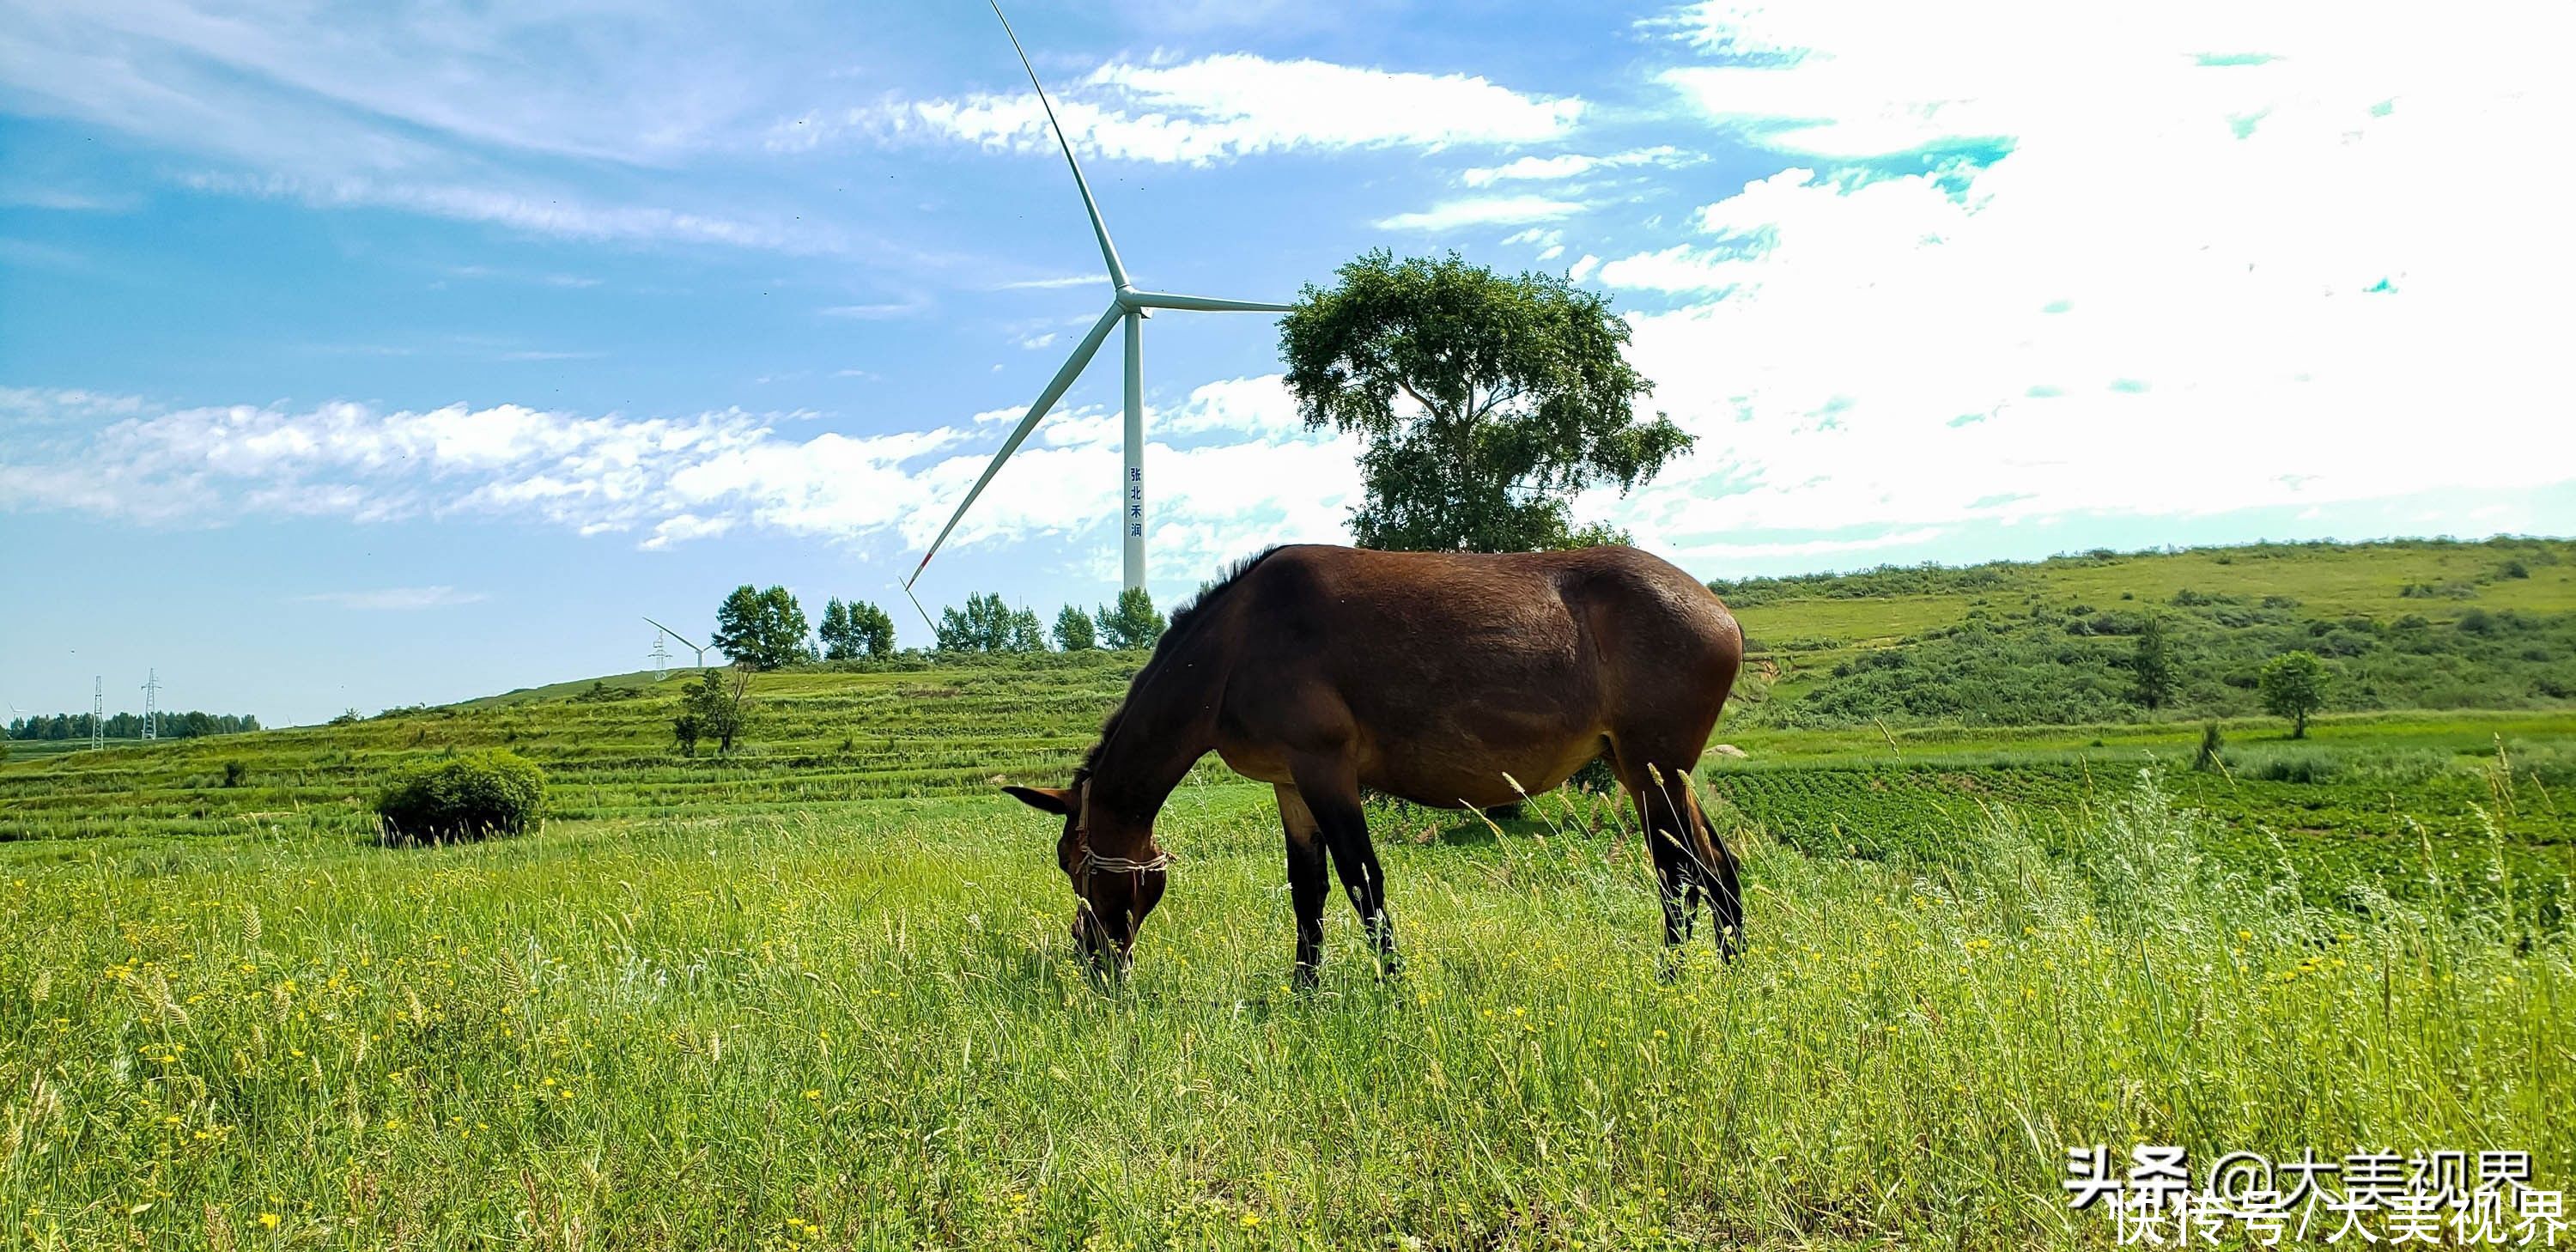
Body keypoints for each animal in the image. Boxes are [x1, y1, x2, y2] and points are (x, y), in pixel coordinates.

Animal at [1005, 544, 1752, 984]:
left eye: (1073, 866)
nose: (1089, 956)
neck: (1234, 646)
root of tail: (1719, 611)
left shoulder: (1327, 770)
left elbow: (1364, 884)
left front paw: (1393, 988)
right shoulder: (1291, 784)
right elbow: (1307, 893)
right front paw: (1304, 991)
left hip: (1651, 768)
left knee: (1678, 873)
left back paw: (1671, 980)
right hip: (1651, 771)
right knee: (1717, 868)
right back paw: (1733, 971)